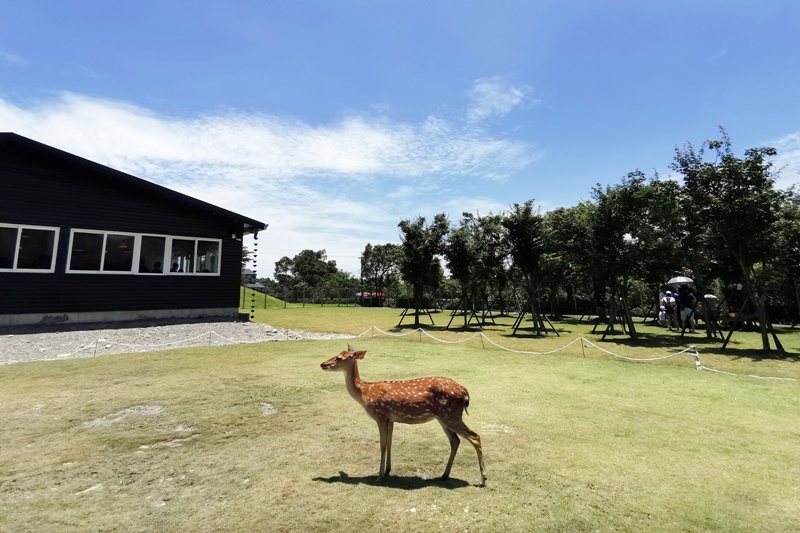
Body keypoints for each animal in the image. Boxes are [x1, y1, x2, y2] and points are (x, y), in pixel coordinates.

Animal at [320, 342, 488, 484]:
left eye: (339, 358)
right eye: (337, 353)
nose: (323, 364)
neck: (365, 393)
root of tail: (466, 394)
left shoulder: (380, 416)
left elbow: (382, 445)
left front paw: (379, 477)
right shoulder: (391, 419)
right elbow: (390, 443)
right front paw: (387, 470)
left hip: (450, 415)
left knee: (475, 436)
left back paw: (483, 479)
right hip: (443, 417)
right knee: (455, 441)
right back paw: (444, 475)